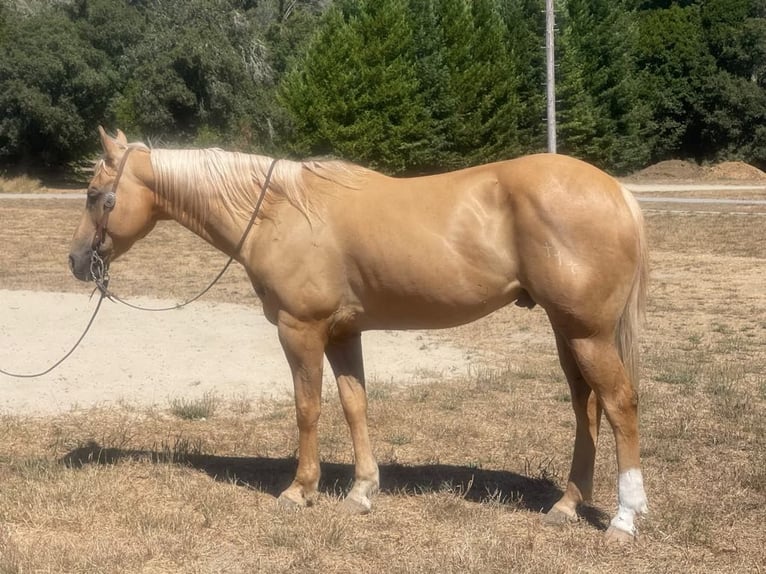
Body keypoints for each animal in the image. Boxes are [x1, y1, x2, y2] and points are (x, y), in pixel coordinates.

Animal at [69, 127, 649, 543]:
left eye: (96, 195)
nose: (76, 262)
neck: (279, 211)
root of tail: (616, 191)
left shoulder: (300, 330)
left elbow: (307, 406)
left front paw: (300, 491)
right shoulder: (344, 333)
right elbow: (354, 405)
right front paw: (362, 491)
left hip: (588, 333)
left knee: (619, 404)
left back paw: (624, 519)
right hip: (566, 330)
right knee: (586, 407)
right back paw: (567, 506)